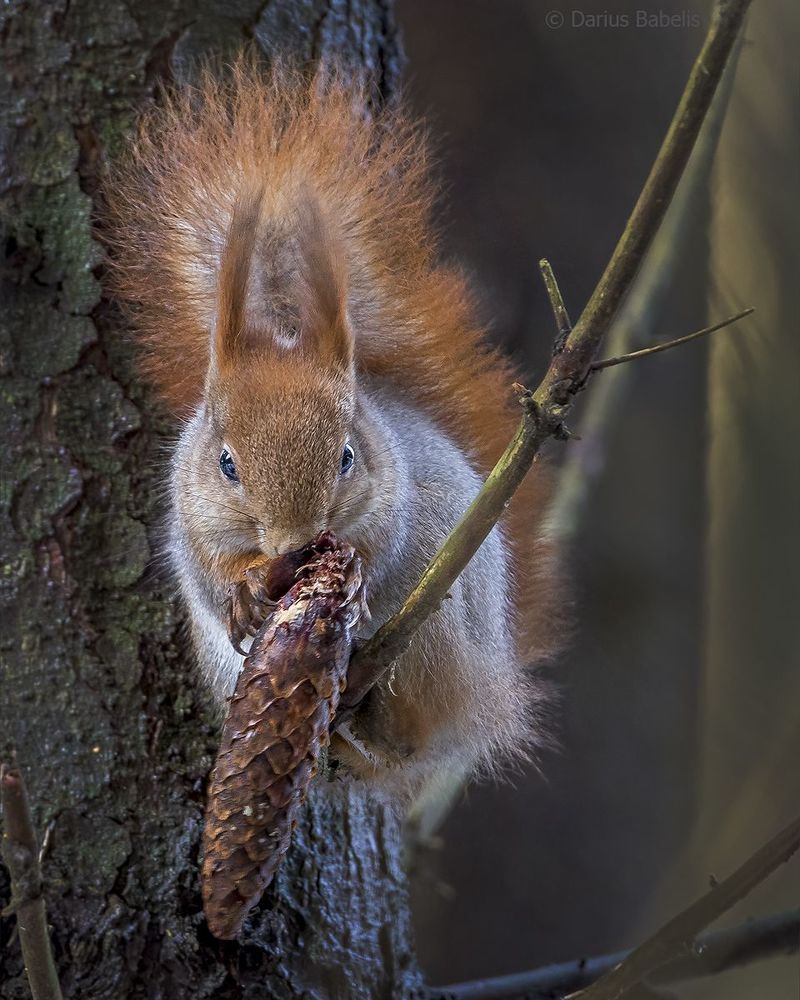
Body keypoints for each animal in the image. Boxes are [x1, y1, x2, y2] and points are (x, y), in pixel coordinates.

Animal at [105, 58, 561, 794]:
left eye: (347, 456)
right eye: (226, 463)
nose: (297, 542)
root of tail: (486, 693)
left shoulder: (396, 499)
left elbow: (382, 542)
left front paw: (357, 573)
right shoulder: (187, 515)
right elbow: (206, 570)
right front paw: (241, 594)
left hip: (441, 637)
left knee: (407, 733)